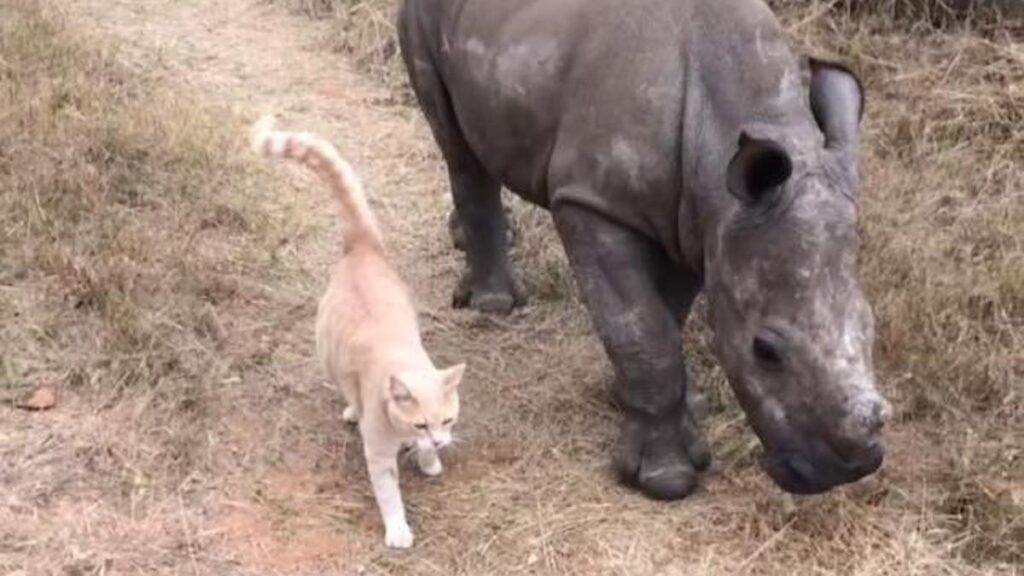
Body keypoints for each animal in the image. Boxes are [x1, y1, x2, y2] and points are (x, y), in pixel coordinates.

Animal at [250, 115, 464, 545]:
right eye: (420, 423)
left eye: (447, 421)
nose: (438, 440)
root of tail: (362, 246)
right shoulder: (379, 454)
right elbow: (389, 495)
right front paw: (398, 531)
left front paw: (429, 459)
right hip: (327, 352)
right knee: (342, 384)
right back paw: (351, 409)